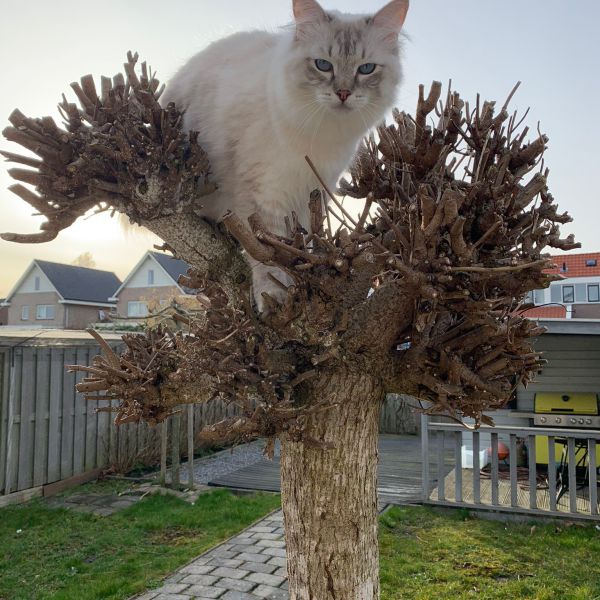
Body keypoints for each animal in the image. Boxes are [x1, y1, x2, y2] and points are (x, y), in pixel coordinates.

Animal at [162, 0, 410, 312]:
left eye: (366, 69)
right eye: (323, 65)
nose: (343, 93)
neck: (322, 135)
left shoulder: (311, 192)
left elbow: (300, 243)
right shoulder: (264, 193)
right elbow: (268, 253)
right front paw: (276, 297)